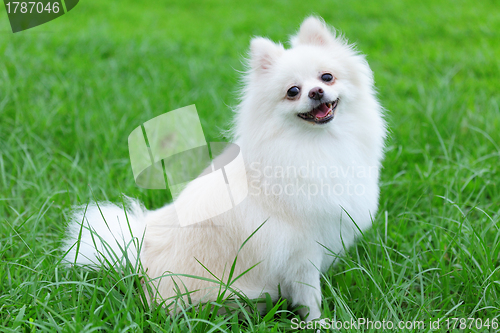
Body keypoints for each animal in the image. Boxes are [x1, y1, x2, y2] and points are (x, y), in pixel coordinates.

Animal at [62, 16, 386, 320]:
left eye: (327, 77)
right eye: (293, 91)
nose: (316, 91)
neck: (316, 145)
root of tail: (140, 254)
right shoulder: (301, 251)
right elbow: (310, 296)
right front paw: (319, 321)